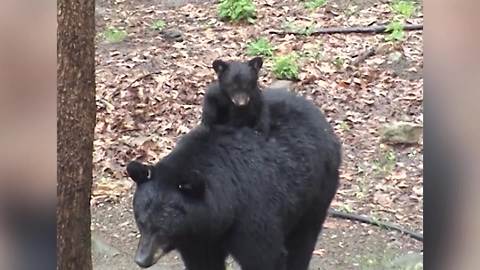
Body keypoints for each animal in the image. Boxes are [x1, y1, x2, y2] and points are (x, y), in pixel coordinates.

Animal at [125, 88, 340, 270]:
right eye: (141, 222)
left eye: (163, 228)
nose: (142, 259)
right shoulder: (198, 236)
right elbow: (203, 262)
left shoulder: (253, 215)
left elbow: (265, 257)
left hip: (318, 190)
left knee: (303, 240)